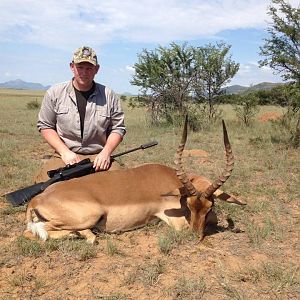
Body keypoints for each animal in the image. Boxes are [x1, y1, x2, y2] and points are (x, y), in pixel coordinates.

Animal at [23, 117, 244, 244]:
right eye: (189, 205)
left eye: (209, 206)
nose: (195, 236)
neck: (173, 181)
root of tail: (37, 199)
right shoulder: (175, 220)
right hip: (88, 216)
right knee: (38, 232)